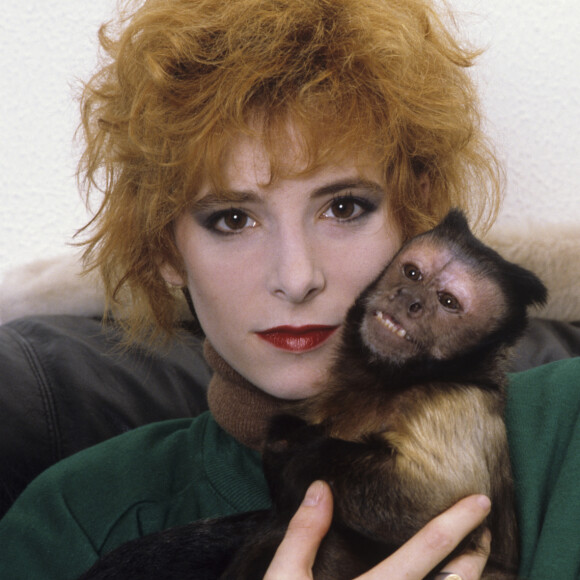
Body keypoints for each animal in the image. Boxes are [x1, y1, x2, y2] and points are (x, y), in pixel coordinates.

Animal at [79, 211, 548, 580]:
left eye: (448, 302)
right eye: (413, 273)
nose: (410, 299)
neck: (384, 382)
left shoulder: (455, 403)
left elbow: (430, 496)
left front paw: (297, 455)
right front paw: (284, 443)